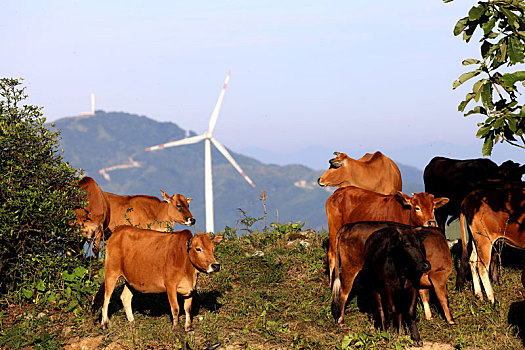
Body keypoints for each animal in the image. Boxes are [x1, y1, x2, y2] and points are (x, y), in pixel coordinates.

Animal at [92, 227, 221, 330]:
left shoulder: (190, 288)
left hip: (131, 280)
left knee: (125, 297)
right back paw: (104, 324)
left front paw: (188, 327)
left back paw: (132, 322)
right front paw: (176, 327)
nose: (216, 265)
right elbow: (175, 308)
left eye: (213, 248)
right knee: (106, 298)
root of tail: (118, 230)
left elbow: (187, 308)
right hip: (111, 272)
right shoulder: (170, 285)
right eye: (198, 248)